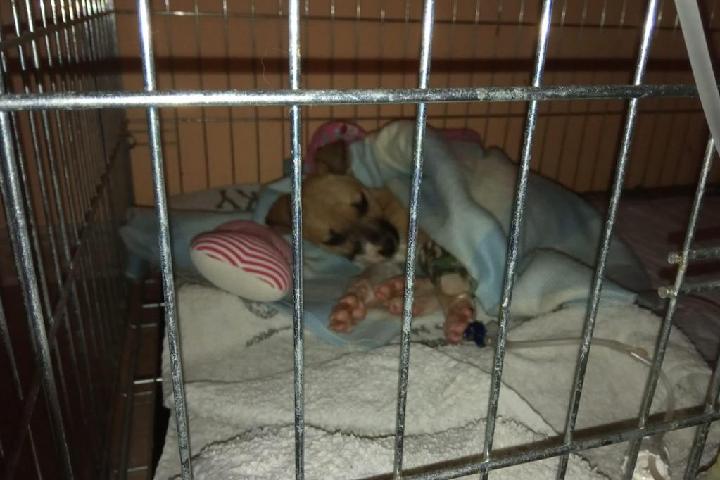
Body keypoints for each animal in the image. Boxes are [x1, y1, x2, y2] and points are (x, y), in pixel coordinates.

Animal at [265, 140, 477, 344]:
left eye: (362, 203)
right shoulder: (386, 262)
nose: (389, 246)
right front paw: (351, 302)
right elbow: (365, 277)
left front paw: (457, 308)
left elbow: (446, 277)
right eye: (335, 239)